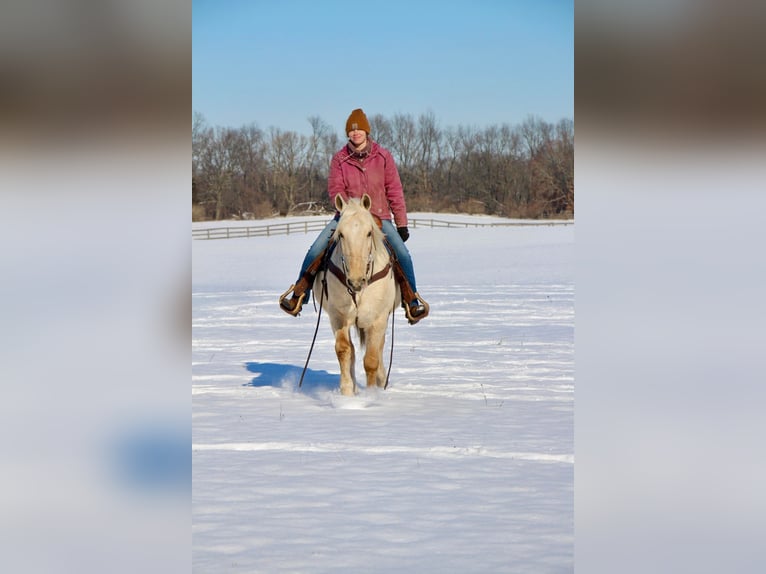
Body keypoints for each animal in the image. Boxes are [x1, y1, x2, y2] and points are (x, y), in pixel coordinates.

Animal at [314, 196, 400, 398]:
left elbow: (371, 359)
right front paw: (347, 392)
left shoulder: (377, 319)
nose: (355, 281)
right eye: (341, 234)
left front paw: (371, 394)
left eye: (369, 233)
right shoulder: (338, 317)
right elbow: (344, 350)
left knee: (379, 348)